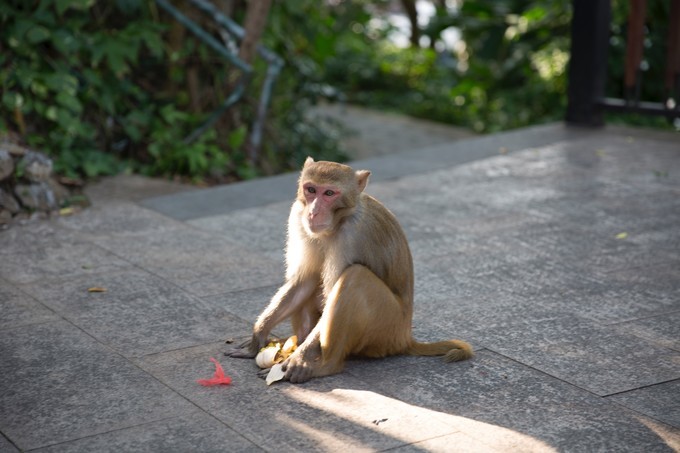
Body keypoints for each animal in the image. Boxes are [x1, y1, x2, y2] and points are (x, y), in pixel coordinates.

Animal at [228, 156, 472, 382]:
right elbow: (303, 281)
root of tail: (405, 338)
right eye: (311, 189)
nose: (314, 212)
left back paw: (326, 365)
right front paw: (257, 339)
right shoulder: (297, 217)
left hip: (386, 328)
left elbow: (333, 289)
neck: (337, 222)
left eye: (329, 193)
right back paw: (291, 342)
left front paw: (299, 358)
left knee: (355, 277)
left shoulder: (352, 233)